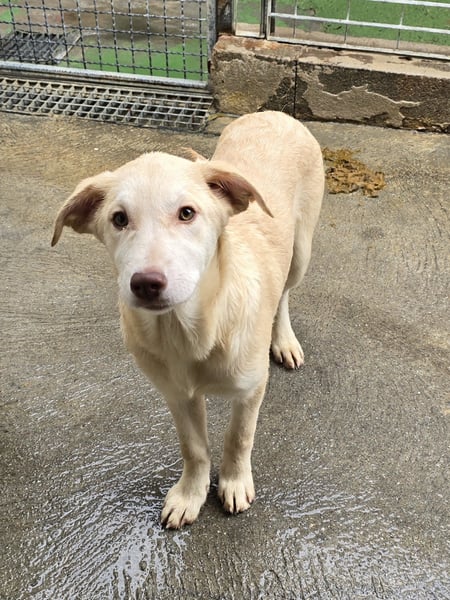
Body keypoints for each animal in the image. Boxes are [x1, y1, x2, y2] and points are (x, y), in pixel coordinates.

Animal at [52, 111, 324, 528]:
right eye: (118, 218)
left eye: (187, 213)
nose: (146, 283)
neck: (189, 331)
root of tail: (270, 113)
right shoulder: (176, 394)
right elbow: (193, 446)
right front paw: (190, 495)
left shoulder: (250, 390)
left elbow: (238, 438)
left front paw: (233, 482)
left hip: (301, 251)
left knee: (285, 293)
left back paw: (284, 340)